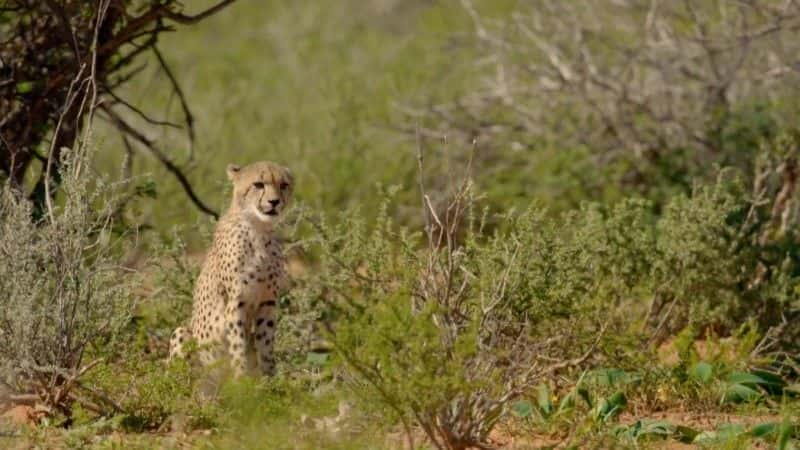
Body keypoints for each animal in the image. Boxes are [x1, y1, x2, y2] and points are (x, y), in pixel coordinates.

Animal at [170, 160, 294, 378]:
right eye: (258, 184)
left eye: (284, 185)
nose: (274, 202)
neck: (258, 229)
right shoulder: (237, 301)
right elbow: (238, 344)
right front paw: (241, 379)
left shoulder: (268, 301)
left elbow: (266, 344)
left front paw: (271, 378)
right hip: (183, 334)